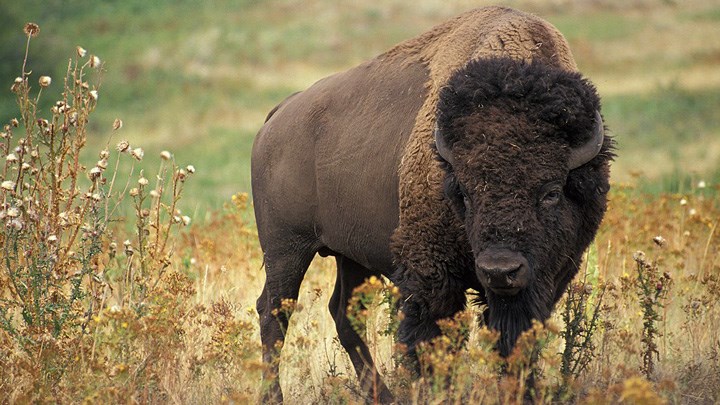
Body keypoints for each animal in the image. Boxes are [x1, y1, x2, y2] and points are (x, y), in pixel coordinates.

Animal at [252, 5, 612, 400]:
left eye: (551, 192)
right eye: (465, 192)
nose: (500, 270)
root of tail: (279, 114)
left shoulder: (546, 279)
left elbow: (516, 341)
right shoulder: (431, 274)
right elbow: (431, 340)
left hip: (350, 255)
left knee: (343, 312)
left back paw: (382, 395)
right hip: (286, 248)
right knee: (274, 312)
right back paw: (274, 395)